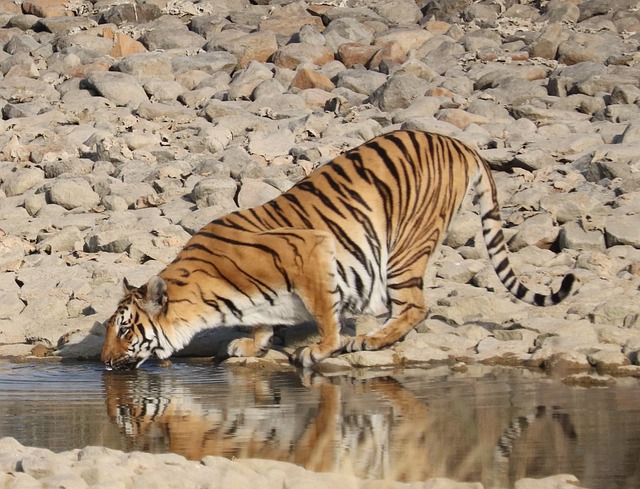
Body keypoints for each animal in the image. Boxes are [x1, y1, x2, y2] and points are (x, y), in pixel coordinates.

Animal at [101, 130, 576, 370]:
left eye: (125, 330)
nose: (103, 363)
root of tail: (459, 142)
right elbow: (264, 322)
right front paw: (251, 345)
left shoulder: (311, 253)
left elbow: (324, 312)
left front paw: (321, 348)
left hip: (404, 246)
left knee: (417, 306)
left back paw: (369, 339)